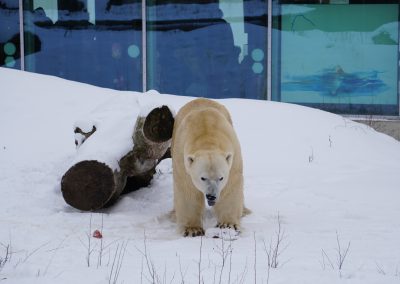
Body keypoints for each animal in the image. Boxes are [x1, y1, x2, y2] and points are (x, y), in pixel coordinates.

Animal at [170, 98, 248, 236]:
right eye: (203, 178)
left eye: (221, 178)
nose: (212, 196)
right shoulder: (182, 157)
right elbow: (187, 189)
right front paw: (192, 229)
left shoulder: (233, 158)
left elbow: (231, 186)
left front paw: (228, 225)